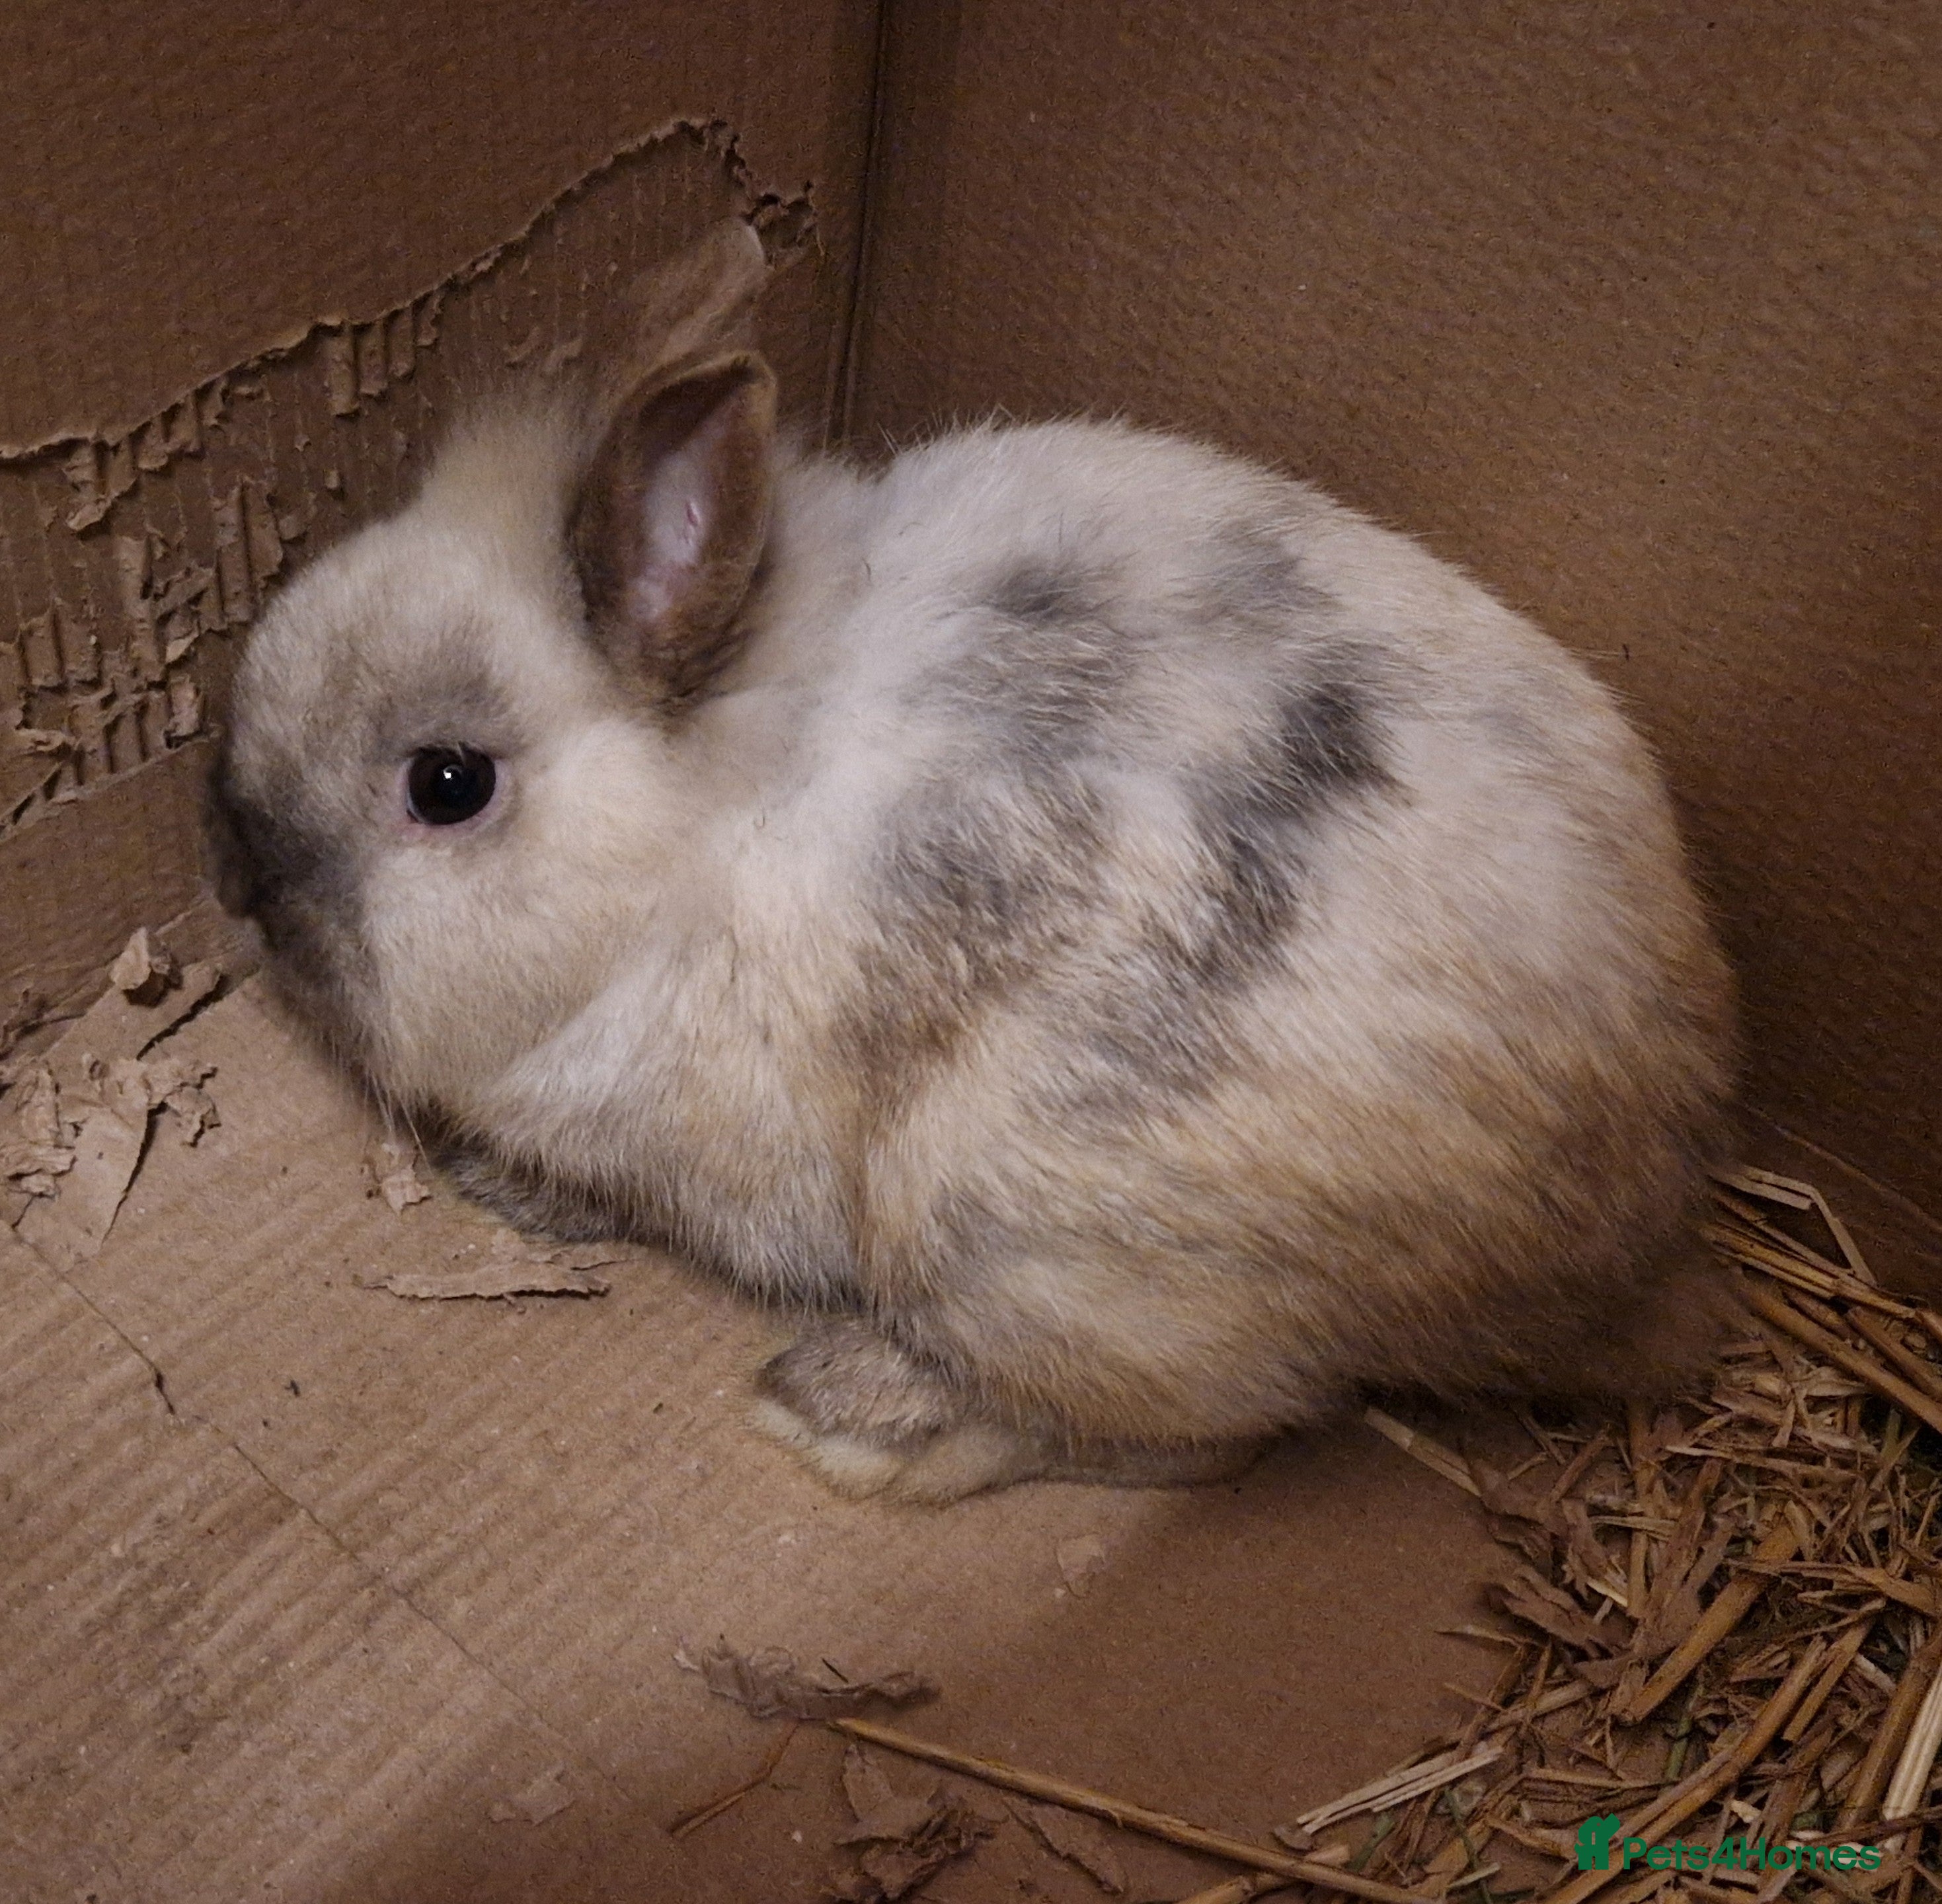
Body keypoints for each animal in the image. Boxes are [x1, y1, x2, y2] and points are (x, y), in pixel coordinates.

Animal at [208, 219, 1737, 1503]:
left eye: (446, 785)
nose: (245, 888)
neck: (702, 831)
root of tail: (1631, 1239)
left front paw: (510, 1190)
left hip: (1028, 1256)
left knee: (1190, 1439)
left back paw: (846, 1412)